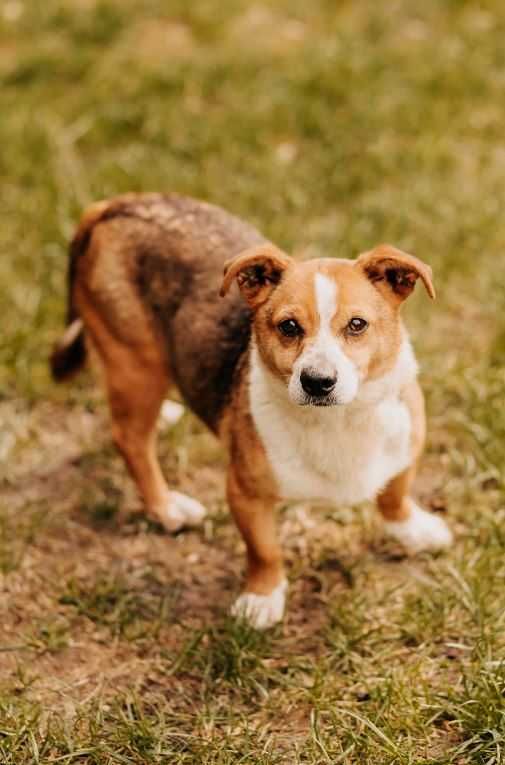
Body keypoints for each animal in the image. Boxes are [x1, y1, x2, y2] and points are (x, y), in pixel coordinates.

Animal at [52, 194, 452, 628]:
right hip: (136, 362)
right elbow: (264, 550)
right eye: (289, 326)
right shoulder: (244, 492)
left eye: (357, 324)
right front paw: (262, 597)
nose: (317, 381)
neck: (338, 420)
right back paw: (166, 507)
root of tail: (116, 204)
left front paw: (413, 530)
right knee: (130, 439)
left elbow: (395, 493)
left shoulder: (407, 444)